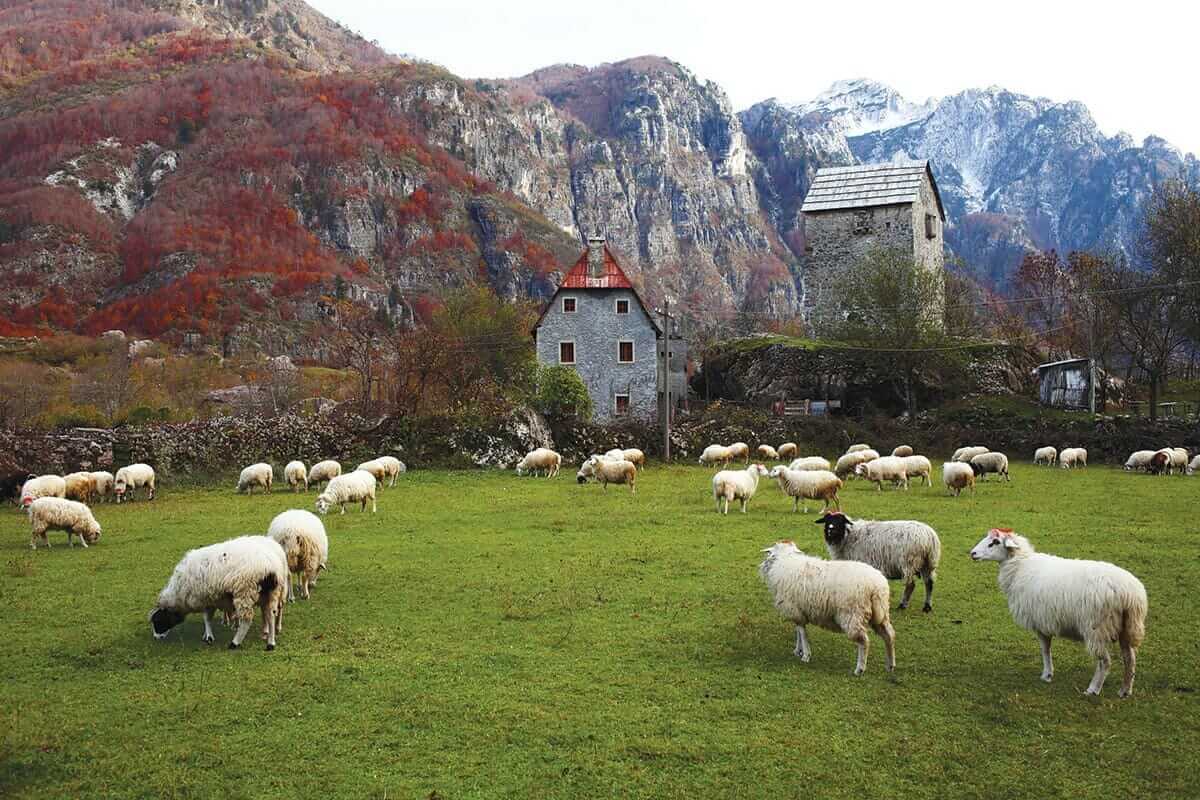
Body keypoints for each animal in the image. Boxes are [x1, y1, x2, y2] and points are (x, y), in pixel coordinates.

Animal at [147, 532, 288, 652]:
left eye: (158, 621)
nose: (156, 638)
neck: (179, 593)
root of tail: (270, 565)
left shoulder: (205, 599)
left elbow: (206, 618)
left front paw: (209, 636)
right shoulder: (210, 599)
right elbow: (208, 617)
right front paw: (207, 635)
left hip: (245, 592)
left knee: (246, 620)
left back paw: (235, 643)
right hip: (271, 593)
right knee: (271, 615)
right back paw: (270, 643)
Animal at [753, 542, 897, 681]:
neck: (786, 559)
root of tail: (877, 586)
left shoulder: (795, 610)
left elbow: (802, 633)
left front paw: (805, 655)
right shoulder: (798, 611)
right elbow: (798, 631)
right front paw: (798, 650)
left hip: (853, 614)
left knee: (864, 641)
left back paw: (859, 669)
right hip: (881, 614)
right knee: (889, 636)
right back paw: (890, 665)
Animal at [964, 527, 1152, 695]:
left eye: (995, 542)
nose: (973, 553)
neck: (1020, 566)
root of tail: (1130, 594)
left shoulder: (1040, 621)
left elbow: (1045, 649)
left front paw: (1046, 674)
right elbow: (1047, 649)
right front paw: (1048, 673)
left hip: (1096, 628)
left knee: (1105, 662)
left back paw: (1093, 689)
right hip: (1127, 627)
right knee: (1130, 659)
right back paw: (1125, 691)